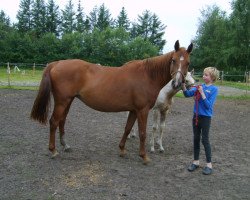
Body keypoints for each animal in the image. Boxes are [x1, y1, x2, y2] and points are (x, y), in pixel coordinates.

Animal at [30, 39, 192, 163]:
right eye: (173, 60)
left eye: (188, 63)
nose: (177, 83)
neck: (147, 75)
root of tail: (56, 63)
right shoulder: (143, 110)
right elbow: (142, 133)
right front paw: (144, 156)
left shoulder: (134, 110)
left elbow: (127, 129)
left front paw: (122, 150)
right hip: (62, 102)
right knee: (54, 122)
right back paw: (53, 151)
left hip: (67, 101)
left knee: (61, 121)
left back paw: (65, 146)